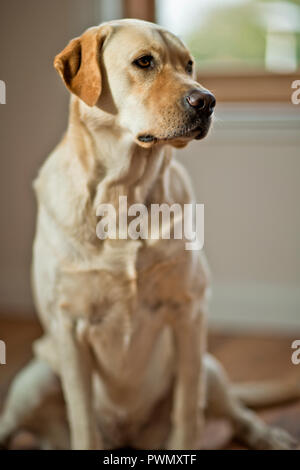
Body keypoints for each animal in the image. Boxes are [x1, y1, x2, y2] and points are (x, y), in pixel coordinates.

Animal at [0, 18, 298, 450]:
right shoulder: (69, 327)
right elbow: (83, 420)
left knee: (237, 412)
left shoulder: (190, 313)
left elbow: (188, 411)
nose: (207, 101)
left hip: (210, 366)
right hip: (34, 377)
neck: (125, 193)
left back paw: (269, 435)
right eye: (144, 62)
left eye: (189, 64)